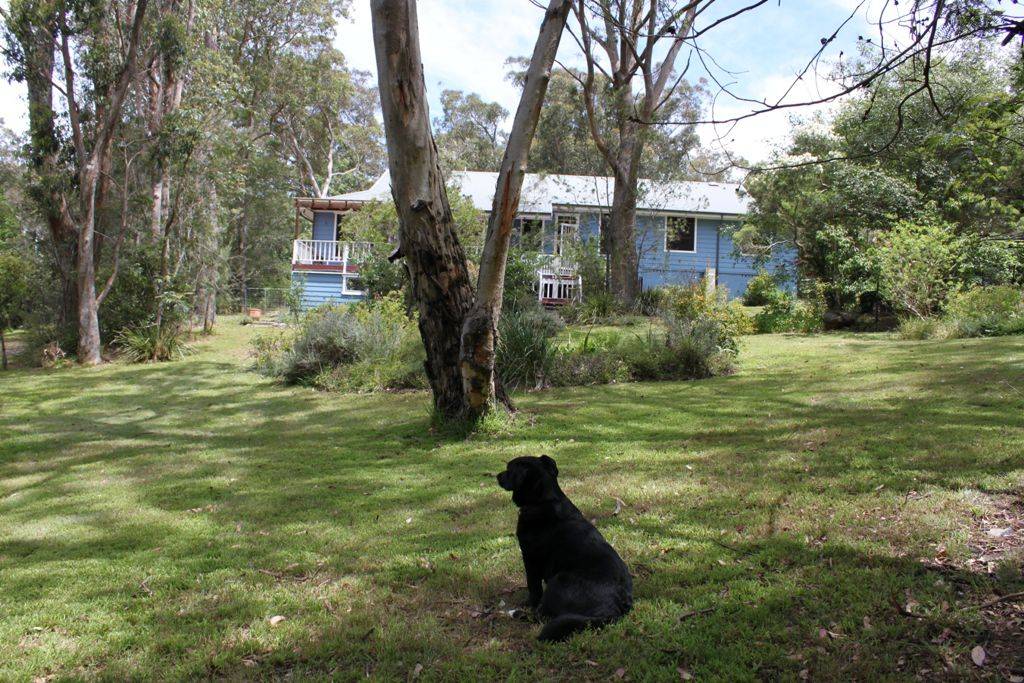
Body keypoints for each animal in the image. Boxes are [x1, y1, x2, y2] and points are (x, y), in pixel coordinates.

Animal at [497, 455, 633, 642]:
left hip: (559, 580)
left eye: (509, 469)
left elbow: (533, 587)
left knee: (541, 617)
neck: (544, 501)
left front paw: (527, 604)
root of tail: (616, 608)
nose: (497, 476)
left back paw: (514, 613)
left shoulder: (530, 558)